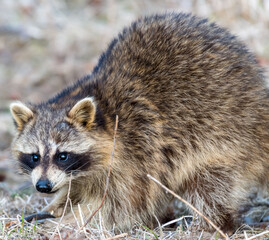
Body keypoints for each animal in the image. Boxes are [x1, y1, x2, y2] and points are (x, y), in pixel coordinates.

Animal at [9, 12, 268, 231]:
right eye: (34, 156)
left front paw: (71, 221)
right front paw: (56, 208)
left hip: (224, 133)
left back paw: (211, 224)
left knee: (209, 184)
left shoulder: (138, 151)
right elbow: (75, 191)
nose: (42, 187)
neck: (105, 112)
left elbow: (122, 206)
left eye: (62, 155)